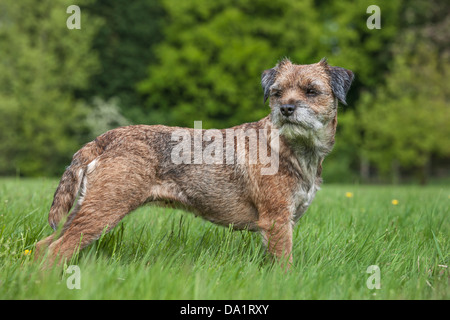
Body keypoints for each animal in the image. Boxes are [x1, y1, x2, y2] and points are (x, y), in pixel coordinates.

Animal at [35, 58, 354, 268]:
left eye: (311, 91)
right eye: (277, 92)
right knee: (56, 251)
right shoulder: (276, 221)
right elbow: (284, 265)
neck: (292, 148)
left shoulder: (282, 223)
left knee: (42, 246)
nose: (286, 108)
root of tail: (107, 136)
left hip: (85, 209)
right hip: (103, 210)